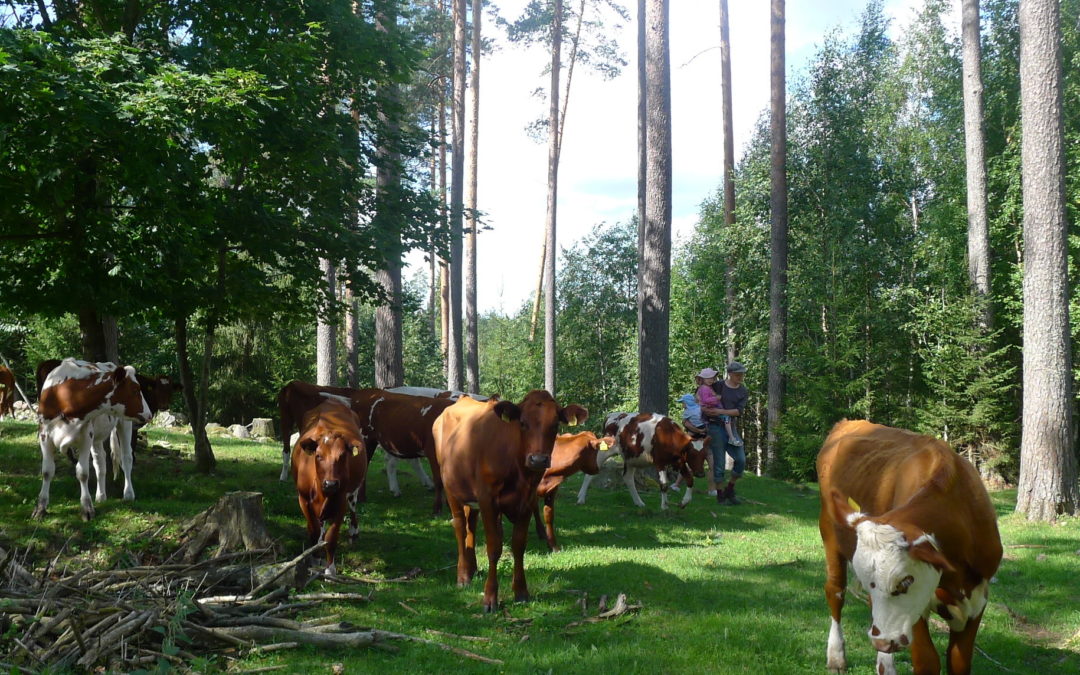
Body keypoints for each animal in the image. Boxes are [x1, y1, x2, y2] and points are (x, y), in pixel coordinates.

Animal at [34, 358, 152, 520]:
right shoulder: (44, 434)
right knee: (100, 461)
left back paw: (128, 494)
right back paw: (101, 495)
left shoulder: (85, 436)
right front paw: (41, 508)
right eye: (135, 390)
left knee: (126, 458)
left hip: (124, 423)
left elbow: (82, 473)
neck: (67, 396)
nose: (149, 414)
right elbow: (47, 471)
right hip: (97, 437)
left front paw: (87, 509)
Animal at [289, 397, 369, 574]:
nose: (331, 483)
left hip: (353, 491)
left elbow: (331, 538)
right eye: (318, 456)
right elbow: (313, 531)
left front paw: (330, 570)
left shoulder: (340, 501)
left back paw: (353, 532)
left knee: (353, 507)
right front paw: (313, 559)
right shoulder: (303, 499)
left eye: (342, 455)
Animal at [432, 388, 591, 609]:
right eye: (522, 423)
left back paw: (472, 568)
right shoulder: (488, 500)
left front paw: (521, 591)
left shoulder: (526, 502)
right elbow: (494, 548)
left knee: (470, 524)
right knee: (459, 526)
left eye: (555, 425)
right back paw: (463, 575)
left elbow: (518, 545)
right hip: (450, 488)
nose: (538, 459)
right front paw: (490, 597)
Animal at [574, 410, 708, 509]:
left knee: (628, 478)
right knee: (590, 473)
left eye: (704, 456)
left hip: (631, 457)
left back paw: (639, 502)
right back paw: (581, 498)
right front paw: (664, 506)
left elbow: (690, 479)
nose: (701, 474)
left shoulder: (679, 461)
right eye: (692, 454)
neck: (668, 434)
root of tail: (611, 415)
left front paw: (684, 502)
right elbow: (664, 484)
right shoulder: (659, 462)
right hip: (606, 449)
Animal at [816, 419, 1002, 669]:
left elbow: (958, 661)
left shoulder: (977, 600)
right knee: (835, 591)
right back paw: (836, 656)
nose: (881, 642)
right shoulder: (917, 611)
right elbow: (927, 661)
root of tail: (848, 422)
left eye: (905, 582)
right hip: (828, 532)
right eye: (867, 584)